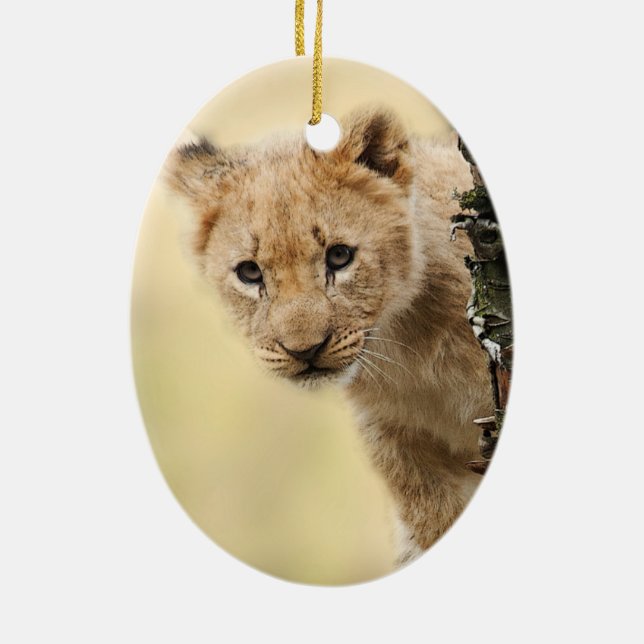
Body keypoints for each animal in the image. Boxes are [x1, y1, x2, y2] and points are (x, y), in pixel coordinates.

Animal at [164, 107, 493, 565]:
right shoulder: (396, 442)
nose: (304, 351)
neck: (410, 350)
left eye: (339, 256)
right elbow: (432, 521)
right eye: (249, 272)